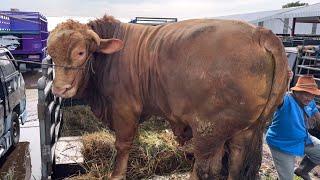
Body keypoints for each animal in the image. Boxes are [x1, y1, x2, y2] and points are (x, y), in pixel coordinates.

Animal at [48, 15, 288, 180]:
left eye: (80, 52)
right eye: (51, 54)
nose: (60, 89)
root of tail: (260, 32)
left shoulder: (124, 109)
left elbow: (122, 145)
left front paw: (116, 174)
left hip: (209, 131)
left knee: (205, 169)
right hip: (245, 130)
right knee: (236, 164)